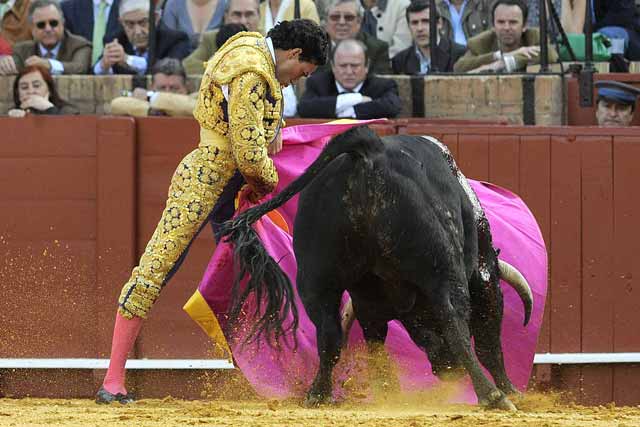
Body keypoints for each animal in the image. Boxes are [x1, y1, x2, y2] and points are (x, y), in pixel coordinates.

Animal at [220, 126, 536, 412]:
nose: (449, 368)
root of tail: (370, 150)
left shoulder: (370, 302)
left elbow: (374, 341)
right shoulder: (483, 275)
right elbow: (487, 337)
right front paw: (509, 390)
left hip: (316, 275)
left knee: (328, 333)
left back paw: (319, 394)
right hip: (443, 269)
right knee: (453, 320)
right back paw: (493, 396)